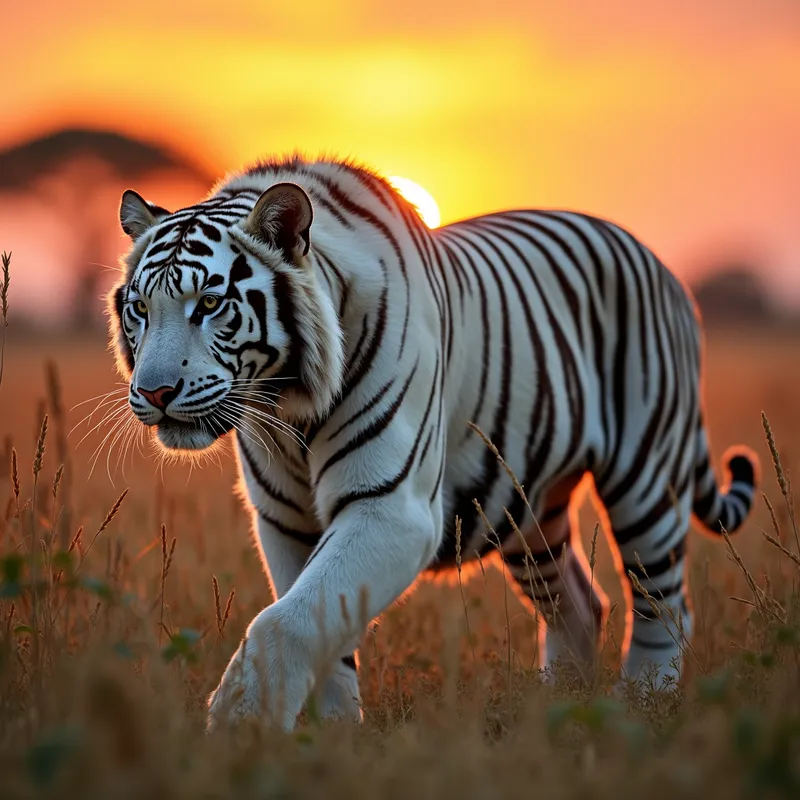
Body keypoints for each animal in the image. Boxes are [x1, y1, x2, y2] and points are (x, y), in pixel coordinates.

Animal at [107, 155, 759, 731]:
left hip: (646, 478)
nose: (155, 392)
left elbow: (286, 620)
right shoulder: (285, 520)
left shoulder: (390, 508)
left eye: (209, 304)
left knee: (663, 605)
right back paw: (557, 707)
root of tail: (651, 256)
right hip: (527, 511)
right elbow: (318, 618)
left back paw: (643, 705)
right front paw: (331, 734)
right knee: (579, 603)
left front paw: (241, 723)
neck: (287, 405)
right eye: (140, 308)